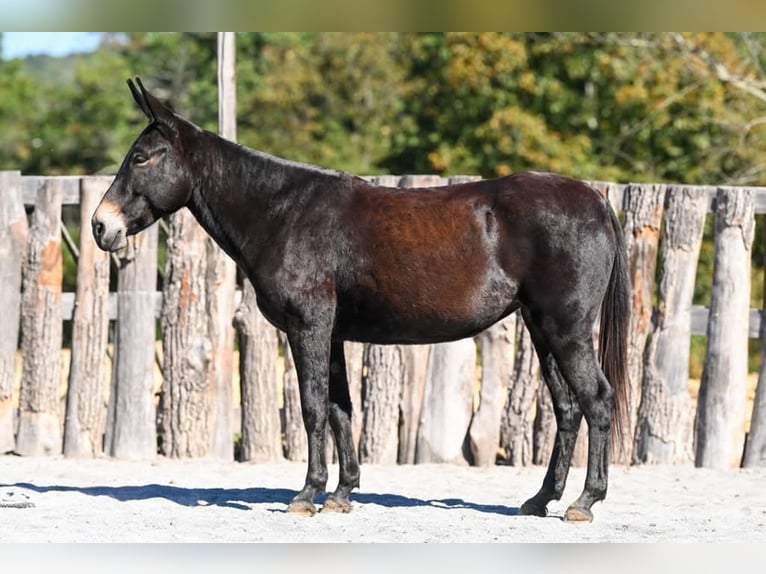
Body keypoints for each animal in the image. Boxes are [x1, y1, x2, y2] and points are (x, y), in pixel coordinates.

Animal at [92, 77, 630, 523]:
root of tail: (598, 201)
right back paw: (540, 500)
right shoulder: (330, 335)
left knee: (598, 400)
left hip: (565, 329)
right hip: (542, 330)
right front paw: (342, 493)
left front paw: (306, 495)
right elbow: (339, 408)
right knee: (568, 408)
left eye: (142, 157)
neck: (283, 212)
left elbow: (312, 408)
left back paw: (584, 502)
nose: (101, 226)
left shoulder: (307, 327)